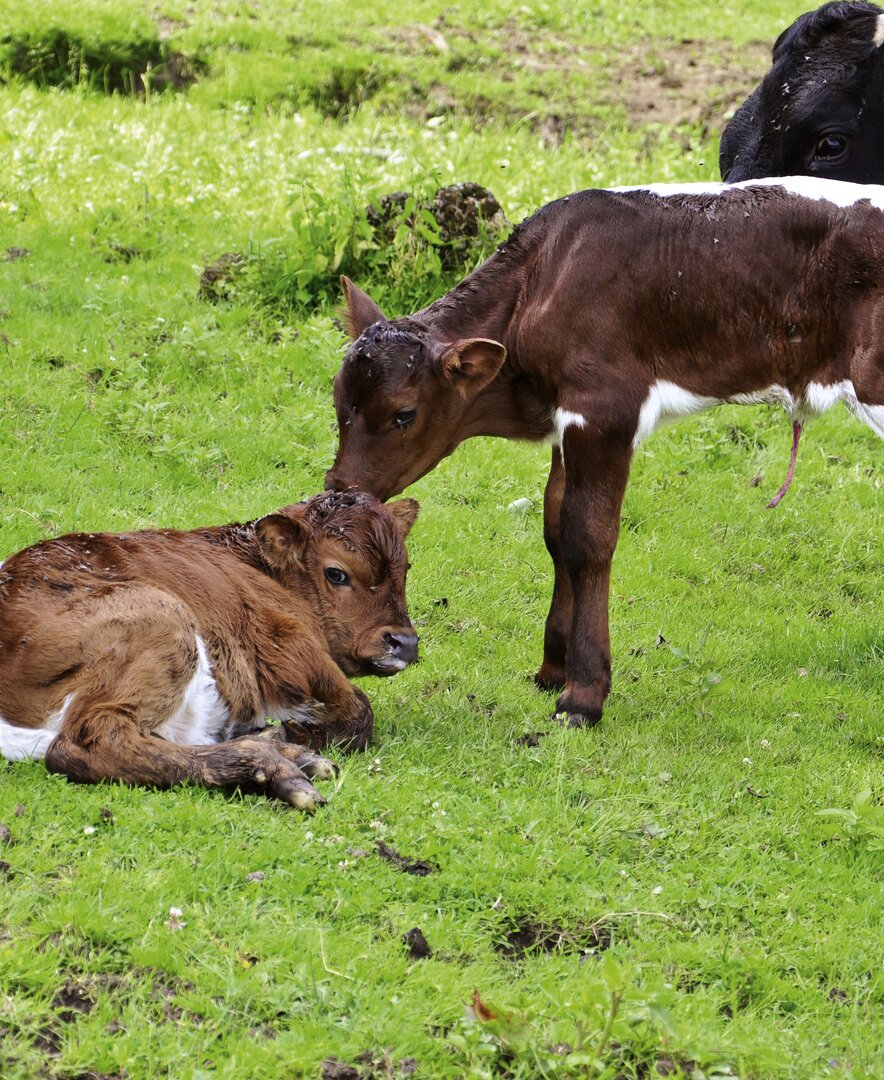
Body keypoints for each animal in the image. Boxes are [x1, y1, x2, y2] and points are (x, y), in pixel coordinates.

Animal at [0, 490, 420, 812]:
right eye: (336, 573)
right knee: (87, 743)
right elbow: (360, 713)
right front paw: (292, 731)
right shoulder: (297, 654)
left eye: (406, 568)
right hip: (161, 620)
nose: (405, 642)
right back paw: (277, 765)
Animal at [328, 177, 884, 730]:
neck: (539, 284)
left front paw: (583, 695)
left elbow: (587, 538)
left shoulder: (603, 410)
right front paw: (552, 667)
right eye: (337, 401)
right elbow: (555, 527)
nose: (339, 489)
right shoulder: (565, 418)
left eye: (404, 414)